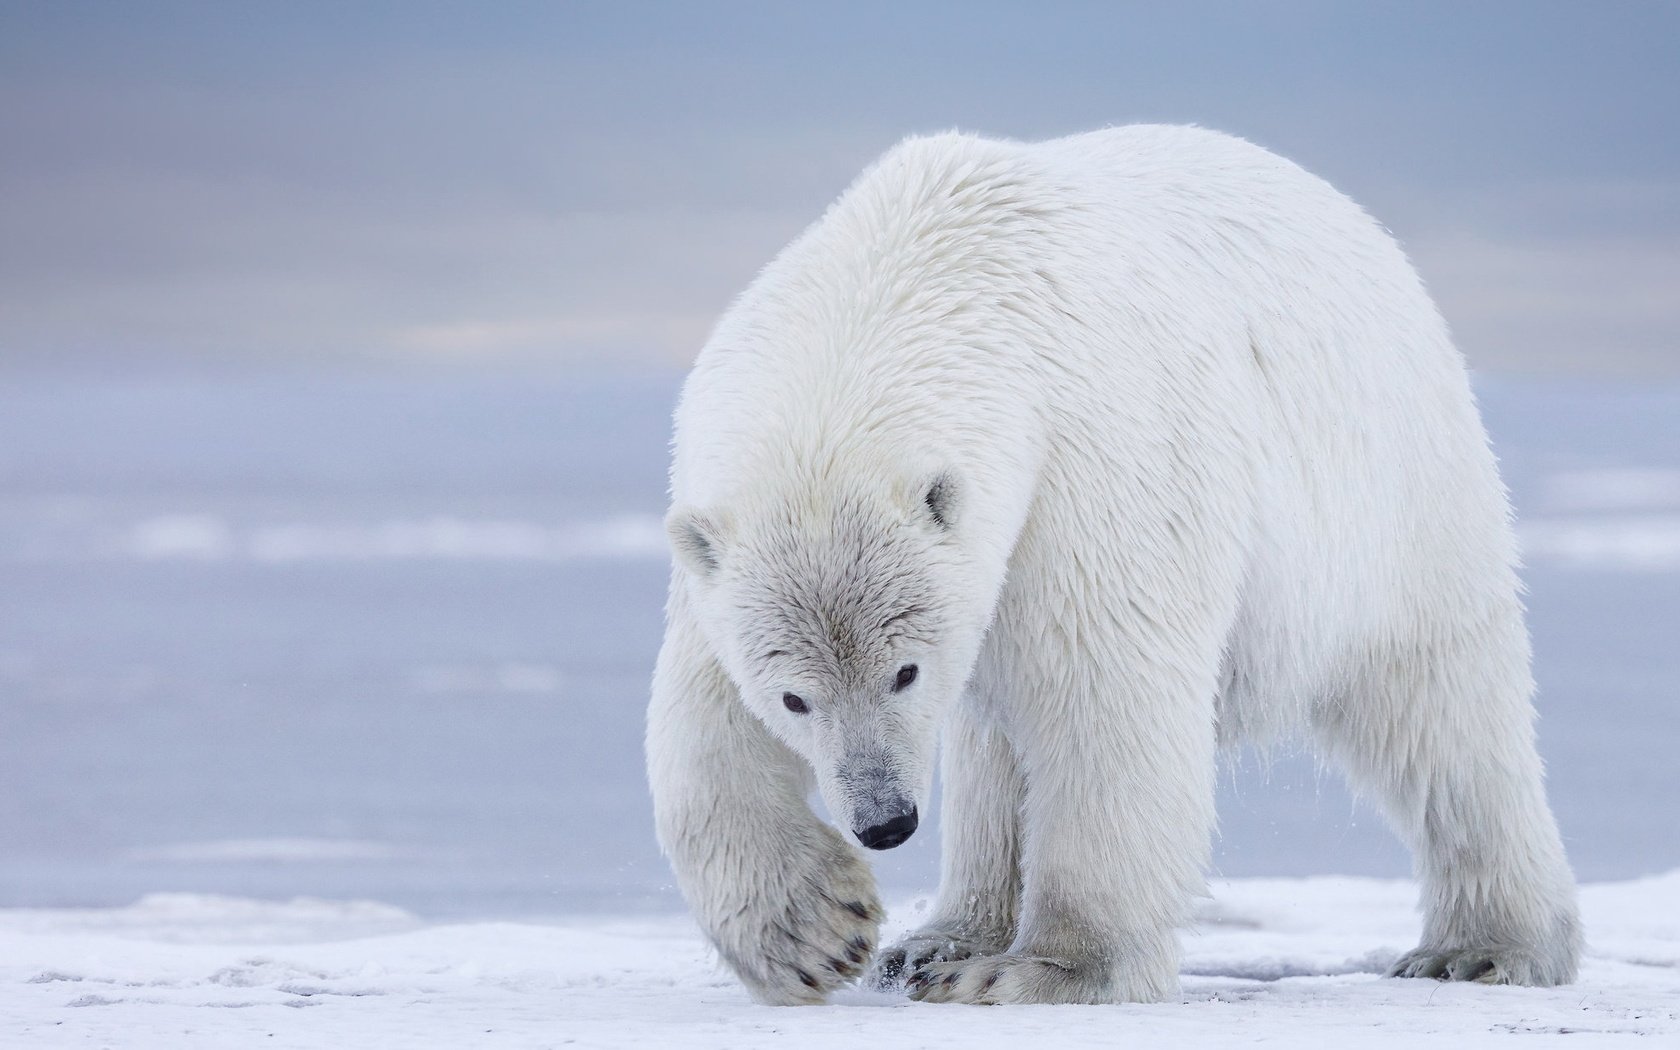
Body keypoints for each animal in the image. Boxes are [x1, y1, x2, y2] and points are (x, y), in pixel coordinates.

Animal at [648, 126, 1579, 1001]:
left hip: (1394, 501)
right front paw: (815, 933)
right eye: (794, 698)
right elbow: (702, 721)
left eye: (905, 672)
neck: (915, 272)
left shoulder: (1090, 463)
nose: (885, 822)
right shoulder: (717, 545)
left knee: (1444, 715)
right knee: (991, 753)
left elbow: (1105, 689)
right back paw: (940, 939)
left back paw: (1487, 948)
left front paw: (1048, 970)